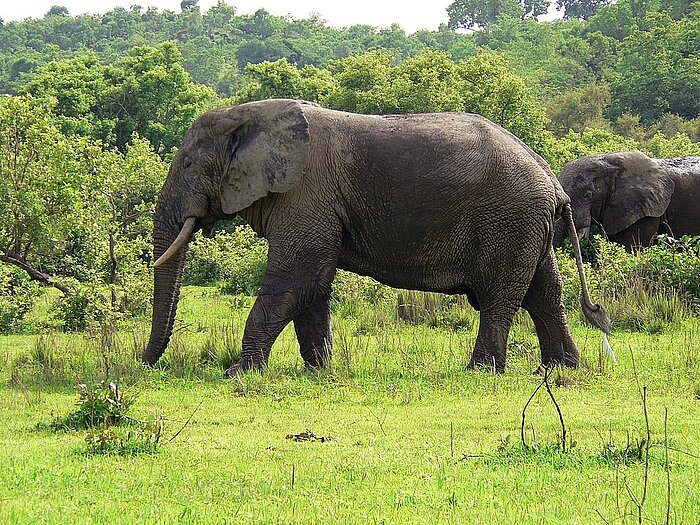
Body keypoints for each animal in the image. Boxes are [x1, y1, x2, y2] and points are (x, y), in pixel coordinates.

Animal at [145, 98, 608, 374]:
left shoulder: (305, 192)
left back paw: (482, 371)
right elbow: (314, 284)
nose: (146, 365)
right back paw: (562, 370)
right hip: (529, 226)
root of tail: (554, 183)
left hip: (509, 220)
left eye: (188, 165)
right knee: (544, 292)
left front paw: (239, 374)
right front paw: (319, 372)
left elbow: (297, 277)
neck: (248, 114)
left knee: (500, 296)